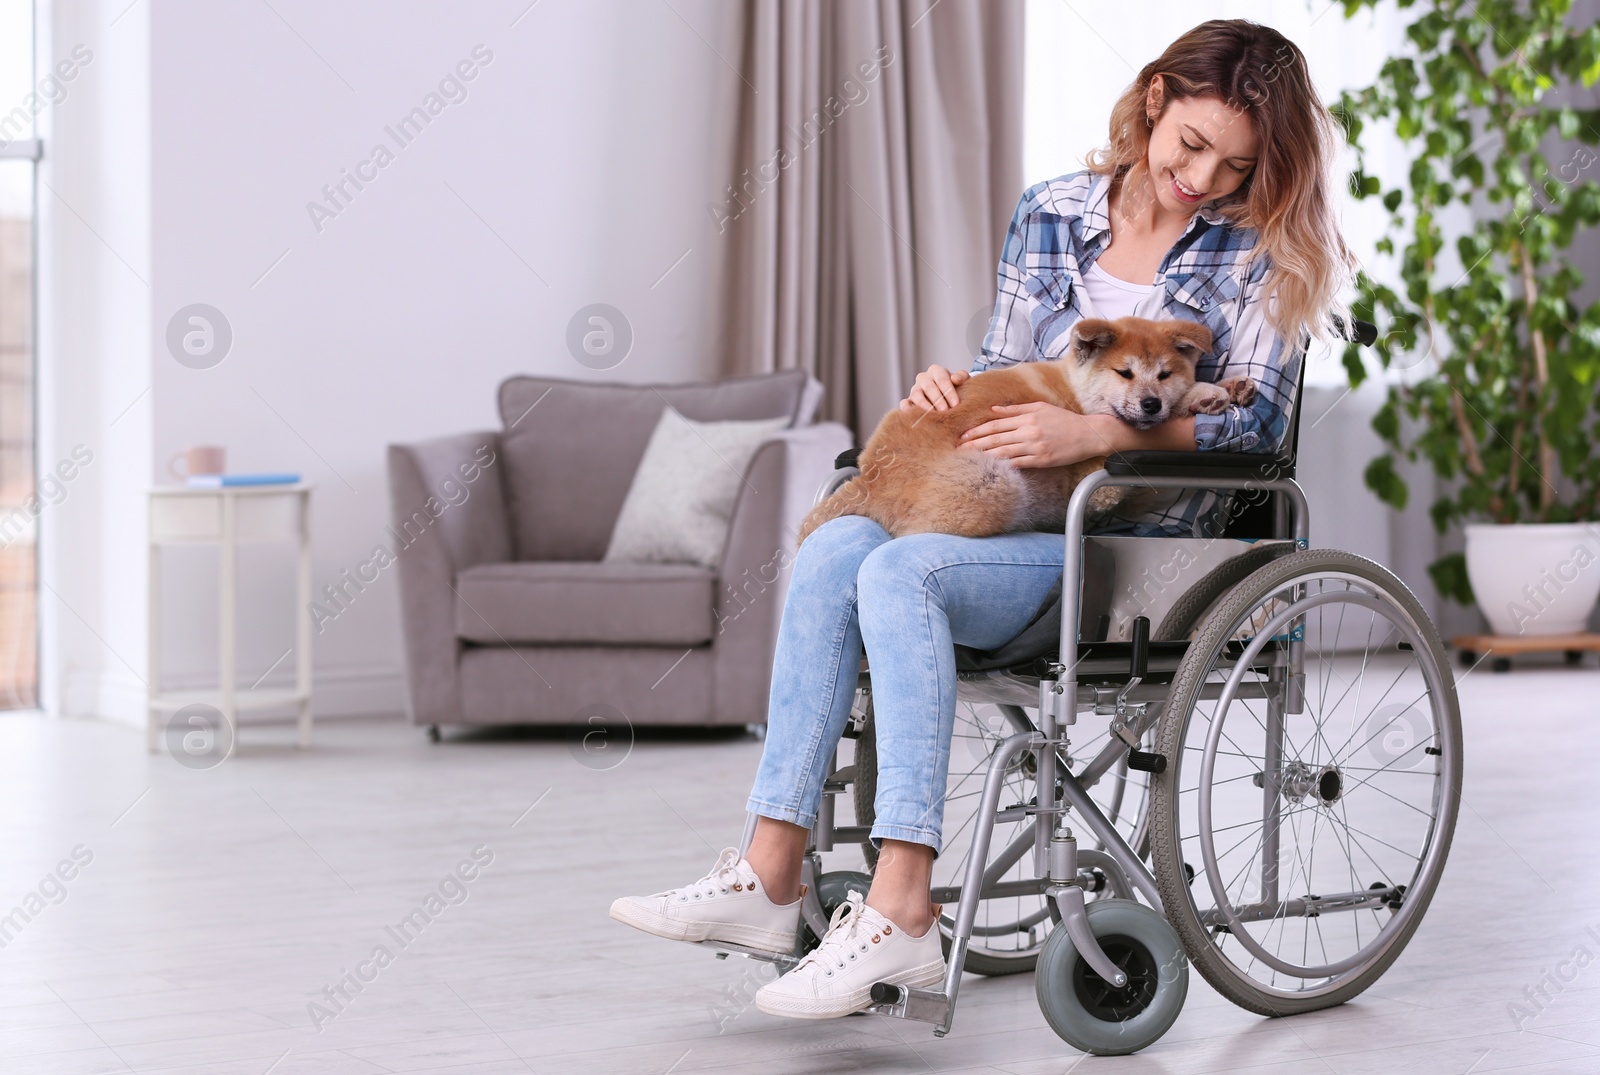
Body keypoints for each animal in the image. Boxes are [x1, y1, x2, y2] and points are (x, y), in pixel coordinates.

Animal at [800, 315, 1248, 540]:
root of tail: (871, 477)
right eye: (1125, 373)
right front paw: (1208, 393)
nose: (1151, 403)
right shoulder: (1094, 475)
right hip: (994, 480)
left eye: (1164, 373)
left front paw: (1218, 391)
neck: (1074, 394)